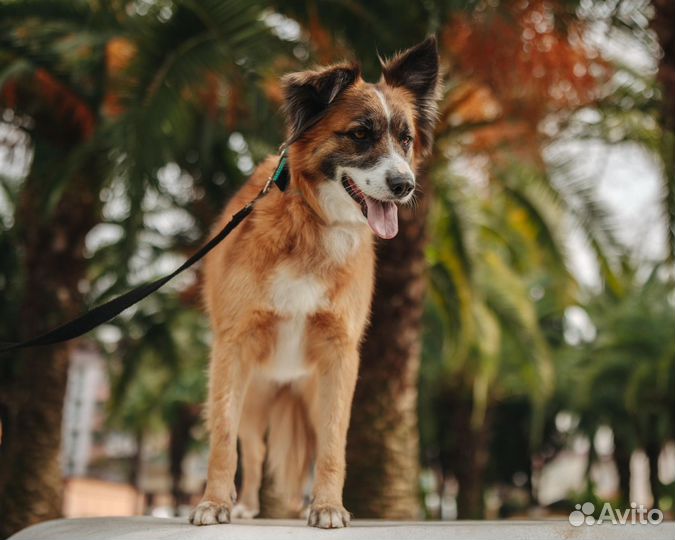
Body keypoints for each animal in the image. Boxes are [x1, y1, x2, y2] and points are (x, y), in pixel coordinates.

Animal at [190, 37, 440, 528]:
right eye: (360, 134)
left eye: (406, 139)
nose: (404, 185)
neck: (313, 222)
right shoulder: (233, 348)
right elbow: (223, 438)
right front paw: (214, 502)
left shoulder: (339, 357)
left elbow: (332, 444)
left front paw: (327, 506)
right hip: (256, 394)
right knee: (253, 448)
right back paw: (245, 504)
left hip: (307, 392)